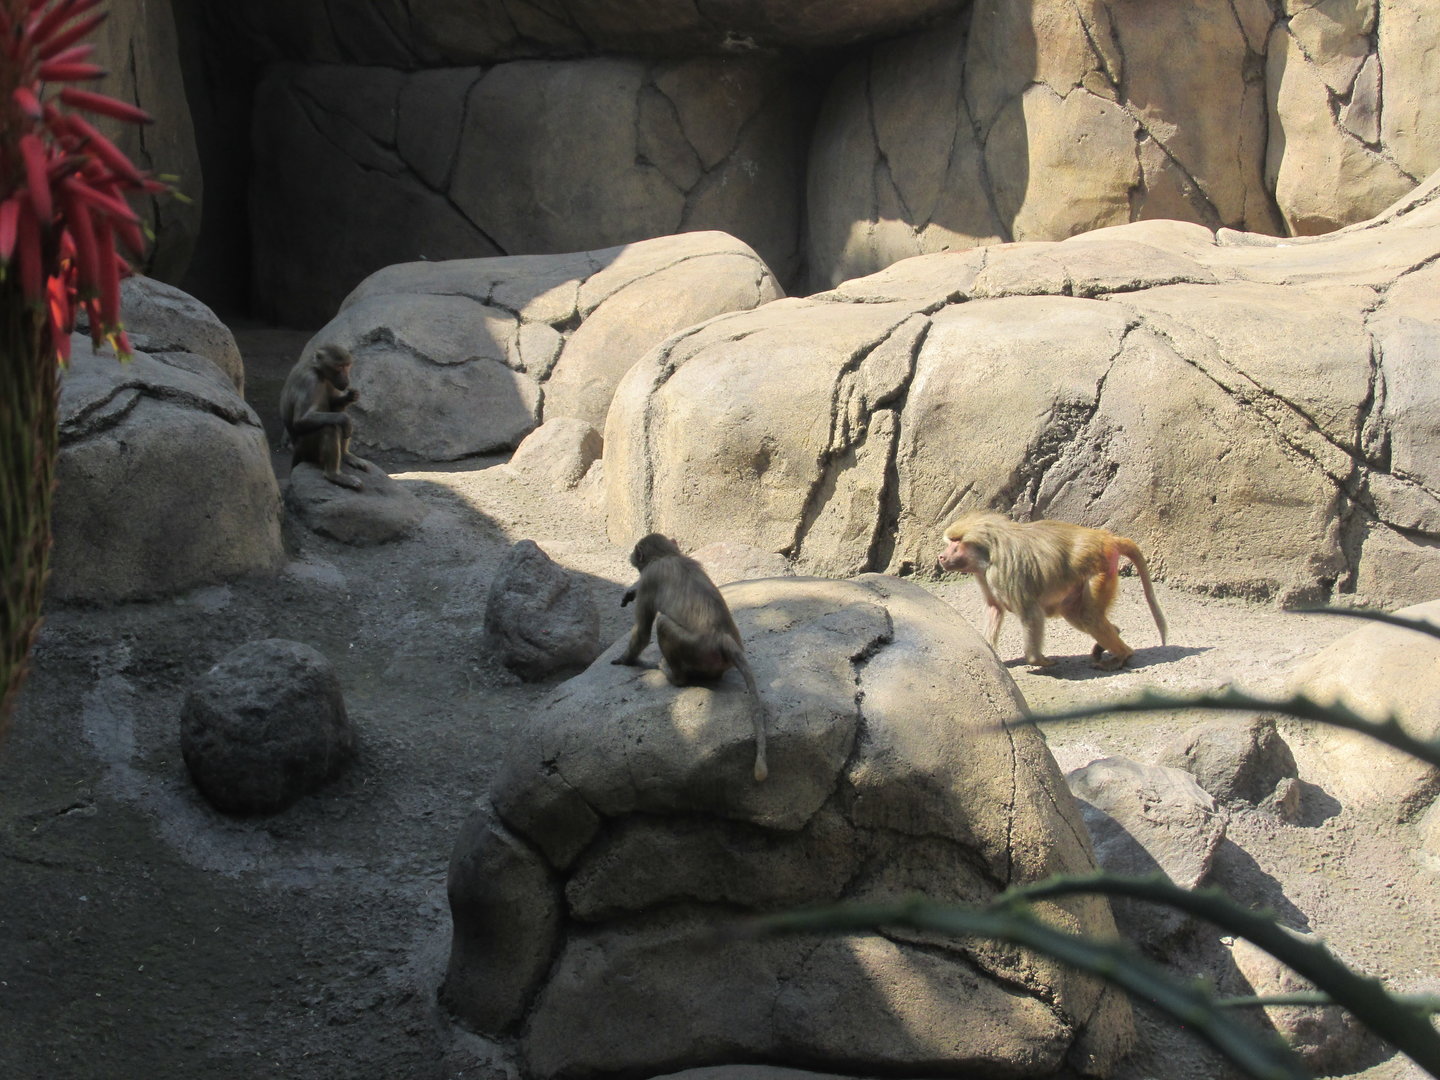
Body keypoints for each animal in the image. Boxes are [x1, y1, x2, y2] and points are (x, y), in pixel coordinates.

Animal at [279, 343, 372, 491]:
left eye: (347, 366)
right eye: (339, 367)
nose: (346, 380)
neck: (318, 371)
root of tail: (296, 449)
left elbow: (334, 403)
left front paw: (349, 397)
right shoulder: (310, 381)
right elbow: (301, 420)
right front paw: (345, 420)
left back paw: (346, 456)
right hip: (306, 448)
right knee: (329, 426)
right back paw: (335, 475)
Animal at [613, 533, 769, 781]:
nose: (630, 556)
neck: (668, 555)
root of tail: (724, 639)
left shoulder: (650, 578)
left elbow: (643, 632)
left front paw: (625, 659)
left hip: (698, 651)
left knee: (663, 623)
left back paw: (673, 676)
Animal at [938, 511, 1167, 671]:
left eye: (955, 543)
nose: (941, 556)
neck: (988, 550)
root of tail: (1106, 539)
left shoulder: (1001, 572)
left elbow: (1031, 614)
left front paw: (1039, 660)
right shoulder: (982, 575)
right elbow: (995, 609)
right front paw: (990, 654)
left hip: (1099, 570)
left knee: (1088, 617)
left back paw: (1121, 656)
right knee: (1078, 615)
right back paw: (1114, 638)